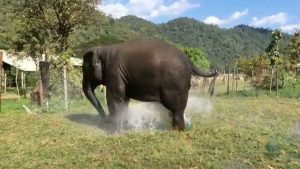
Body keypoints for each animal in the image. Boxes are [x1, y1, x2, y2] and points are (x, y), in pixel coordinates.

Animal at [82, 39, 218, 131]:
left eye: (85, 68)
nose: (105, 119)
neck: (104, 49)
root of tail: (190, 62)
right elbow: (125, 99)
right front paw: (124, 127)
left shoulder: (114, 72)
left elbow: (115, 98)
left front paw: (115, 132)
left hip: (175, 83)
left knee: (176, 108)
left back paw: (177, 130)